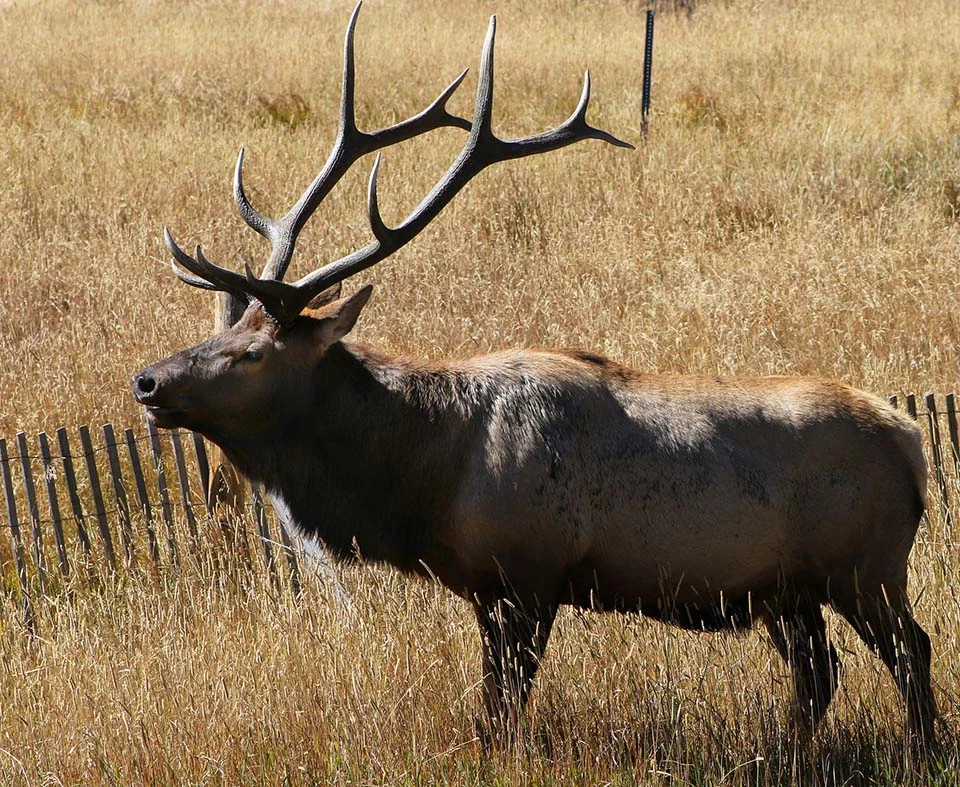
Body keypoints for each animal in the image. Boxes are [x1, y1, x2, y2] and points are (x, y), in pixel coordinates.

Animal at [133, 3, 937, 751]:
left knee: (910, 650)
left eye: (253, 353)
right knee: (817, 674)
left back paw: (923, 751)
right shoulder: (486, 589)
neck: (428, 472)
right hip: (787, 589)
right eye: (222, 331)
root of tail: (912, 442)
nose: (146, 381)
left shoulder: (528, 572)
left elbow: (502, 710)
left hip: (865, 565)